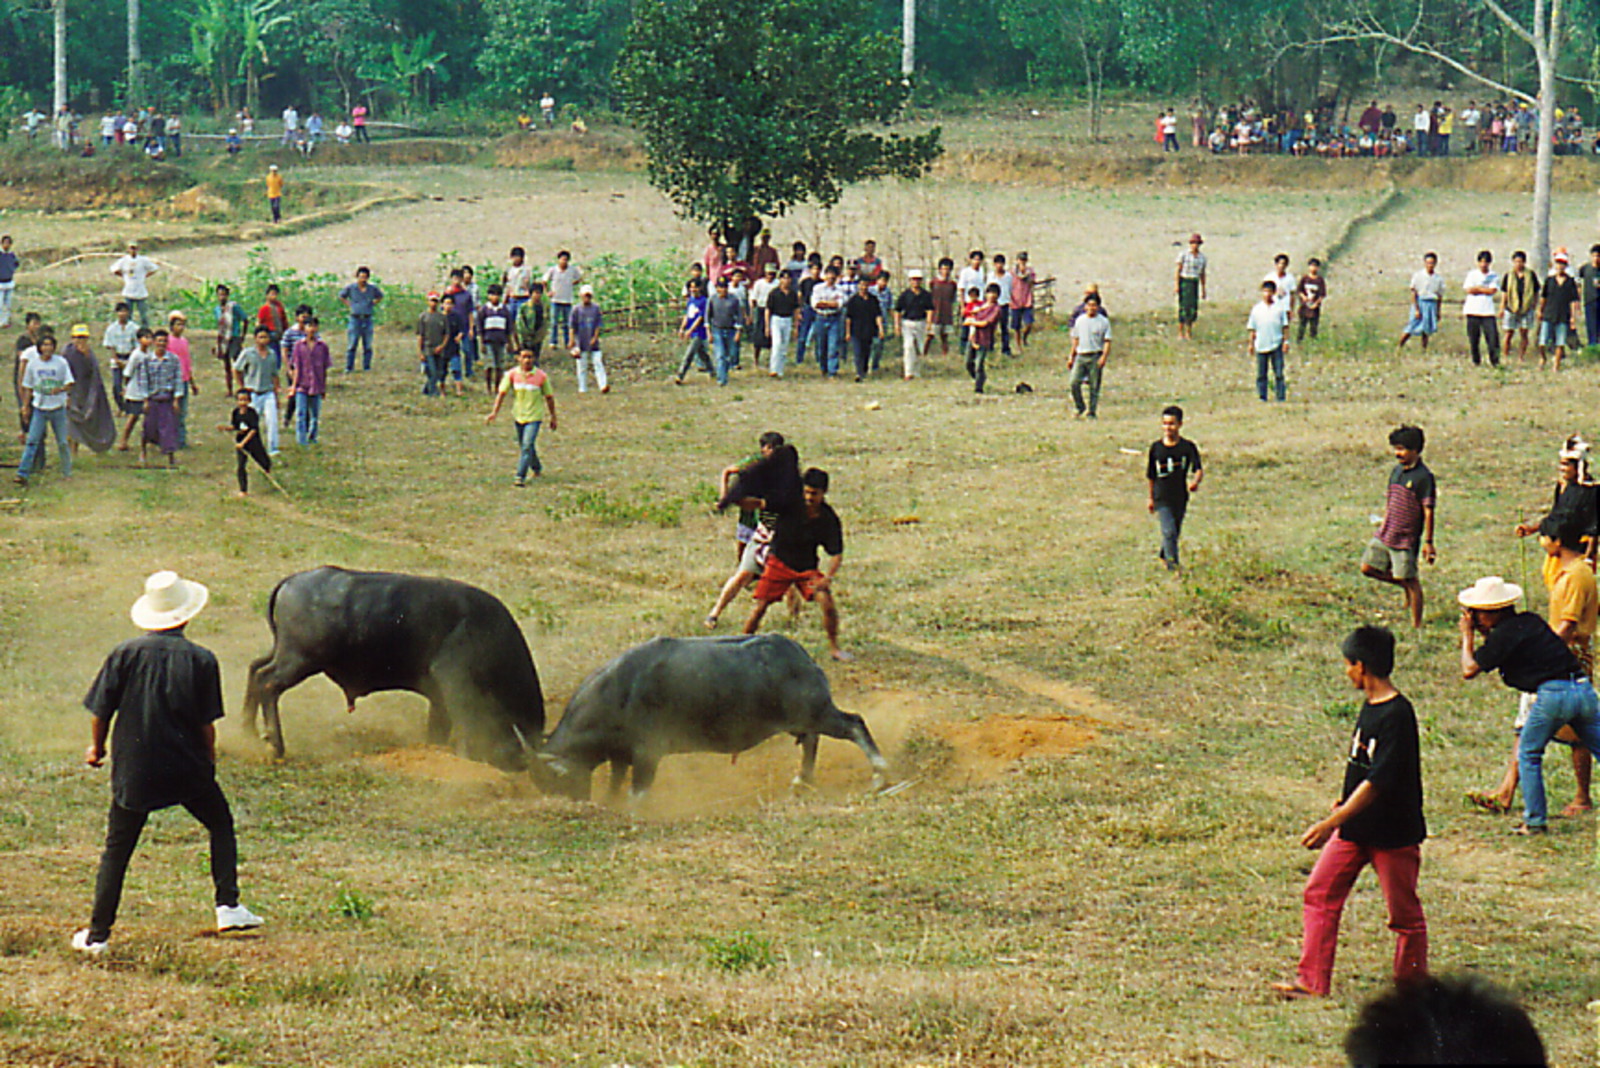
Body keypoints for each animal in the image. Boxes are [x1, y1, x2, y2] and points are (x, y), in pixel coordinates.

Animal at [241, 565, 544, 767]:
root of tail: (291, 581)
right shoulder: (458, 689)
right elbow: (466, 725)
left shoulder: (438, 699)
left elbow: (438, 729)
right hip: (299, 660)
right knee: (268, 682)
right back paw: (275, 746)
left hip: (282, 652)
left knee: (255, 669)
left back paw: (249, 733)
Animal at [534, 633, 889, 799]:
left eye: (556, 781)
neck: (619, 691)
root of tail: (800, 656)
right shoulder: (622, 755)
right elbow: (616, 783)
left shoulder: (648, 752)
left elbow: (638, 791)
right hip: (801, 719)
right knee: (812, 739)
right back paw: (803, 779)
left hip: (818, 711)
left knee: (854, 724)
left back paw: (879, 773)